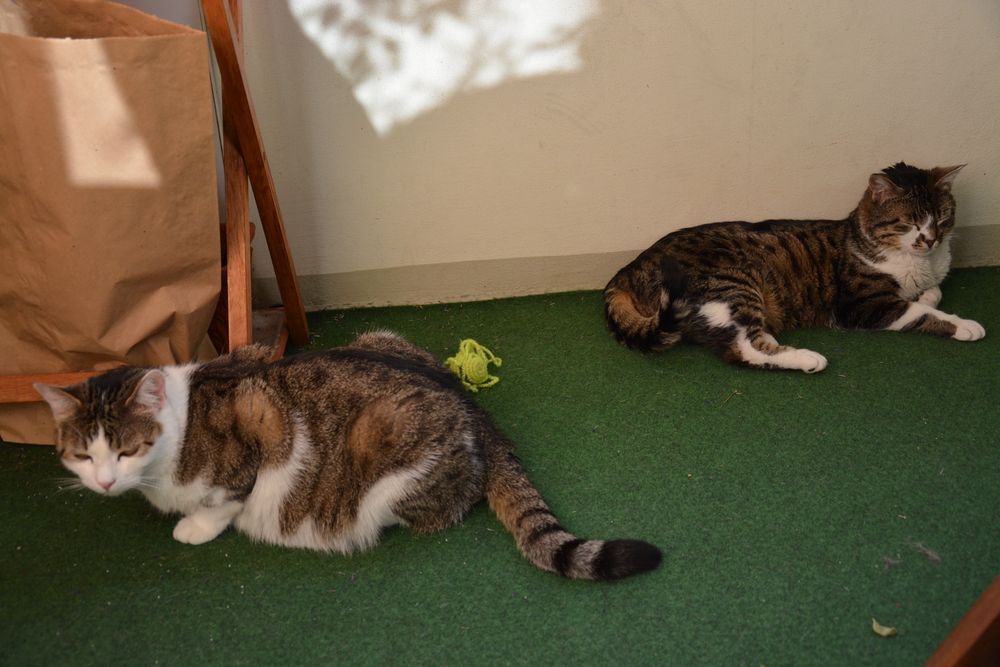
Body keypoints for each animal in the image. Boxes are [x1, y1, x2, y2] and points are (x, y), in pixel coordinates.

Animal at [37, 332, 664, 580]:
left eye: (126, 449)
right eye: (82, 456)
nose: (104, 483)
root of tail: (477, 411)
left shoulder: (254, 439)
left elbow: (225, 500)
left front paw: (194, 526)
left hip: (388, 452)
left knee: (439, 510)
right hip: (381, 335)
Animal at [600, 160, 984, 374]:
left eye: (944, 217)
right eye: (909, 223)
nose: (931, 239)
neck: (923, 262)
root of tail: (627, 271)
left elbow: (931, 293)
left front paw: (927, 293)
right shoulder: (864, 306)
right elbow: (921, 312)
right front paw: (965, 325)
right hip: (731, 286)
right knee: (743, 350)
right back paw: (808, 358)